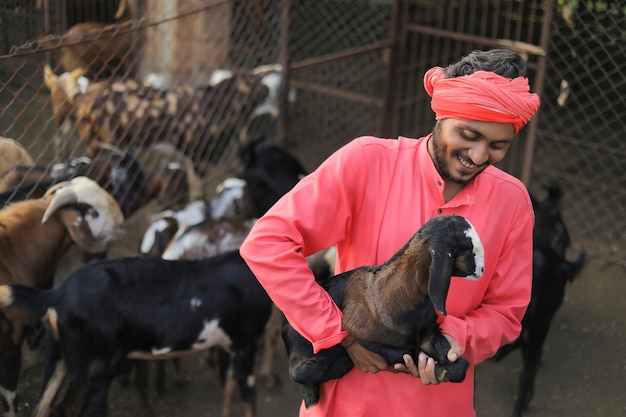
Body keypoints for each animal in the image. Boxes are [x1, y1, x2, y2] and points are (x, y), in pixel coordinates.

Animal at [0, 250, 272, 416]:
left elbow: (228, 388)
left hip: (58, 358)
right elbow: (249, 397)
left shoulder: (230, 344)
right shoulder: (247, 342)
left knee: (39, 408)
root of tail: (55, 295)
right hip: (97, 367)